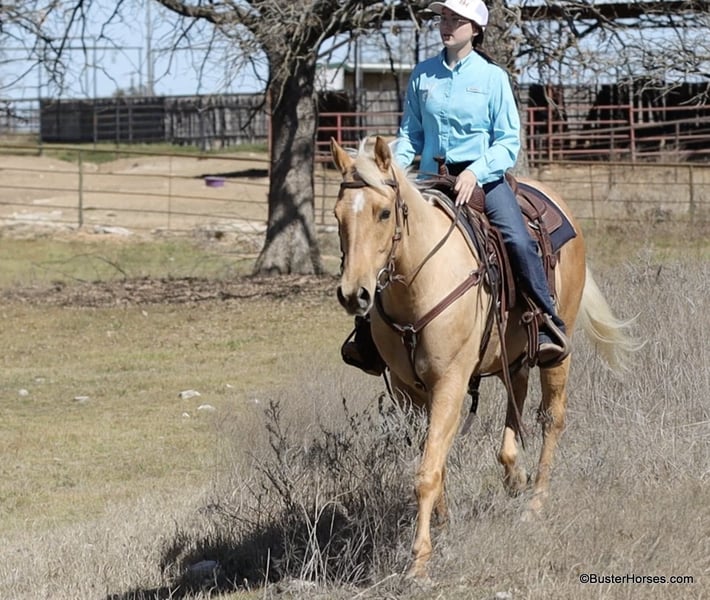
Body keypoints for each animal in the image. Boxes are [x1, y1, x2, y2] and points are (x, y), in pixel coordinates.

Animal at [331, 135, 638, 578]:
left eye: (384, 212)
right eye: (337, 215)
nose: (354, 294)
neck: (421, 282)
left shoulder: (450, 385)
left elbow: (427, 472)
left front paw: (419, 560)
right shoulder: (409, 392)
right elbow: (434, 461)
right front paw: (443, 526)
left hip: (559, 350)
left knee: (552, 418)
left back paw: (535, 503)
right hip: (516, 351)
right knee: (517, 400)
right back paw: (515, 475)